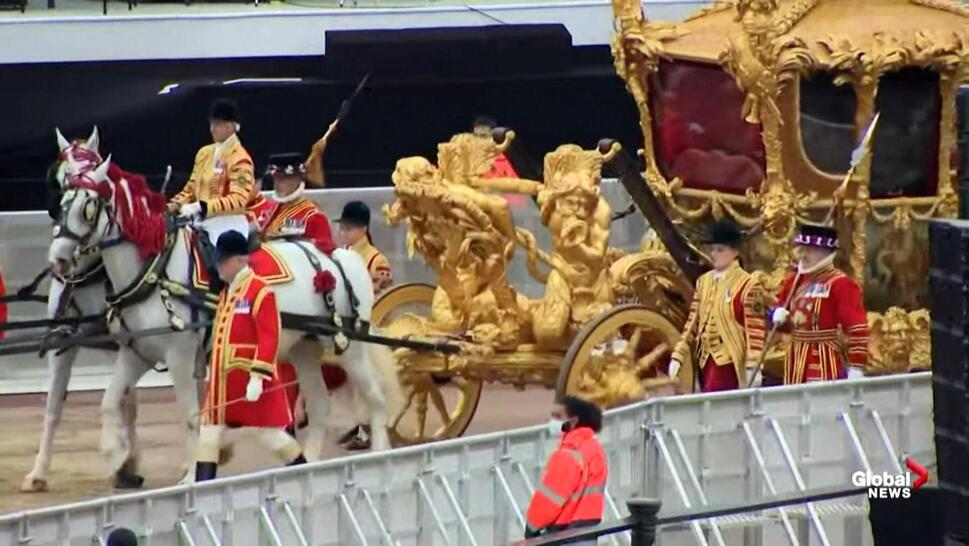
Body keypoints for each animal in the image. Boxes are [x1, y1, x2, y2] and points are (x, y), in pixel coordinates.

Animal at [23, 130, 144, 490]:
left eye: (96, 172)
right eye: (64, 179)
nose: (60, 258)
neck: (82, 277)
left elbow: (125, 400)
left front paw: (126, 462)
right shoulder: (64, 343)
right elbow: (53, 406)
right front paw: (38, 472)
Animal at [48, 151, 398, 478]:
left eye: (88, 207)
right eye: (60, 202)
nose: (58, 260)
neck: (156, 270)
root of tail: (338, 254)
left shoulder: (179, 357)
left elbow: (189, 418)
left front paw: (191, 474)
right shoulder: (137, 354)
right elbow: (108, 403)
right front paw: (117, 455)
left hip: (349, 347)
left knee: (376, 397)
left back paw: (380, 454)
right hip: (304, 348)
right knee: (320, 403)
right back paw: (308, 462)